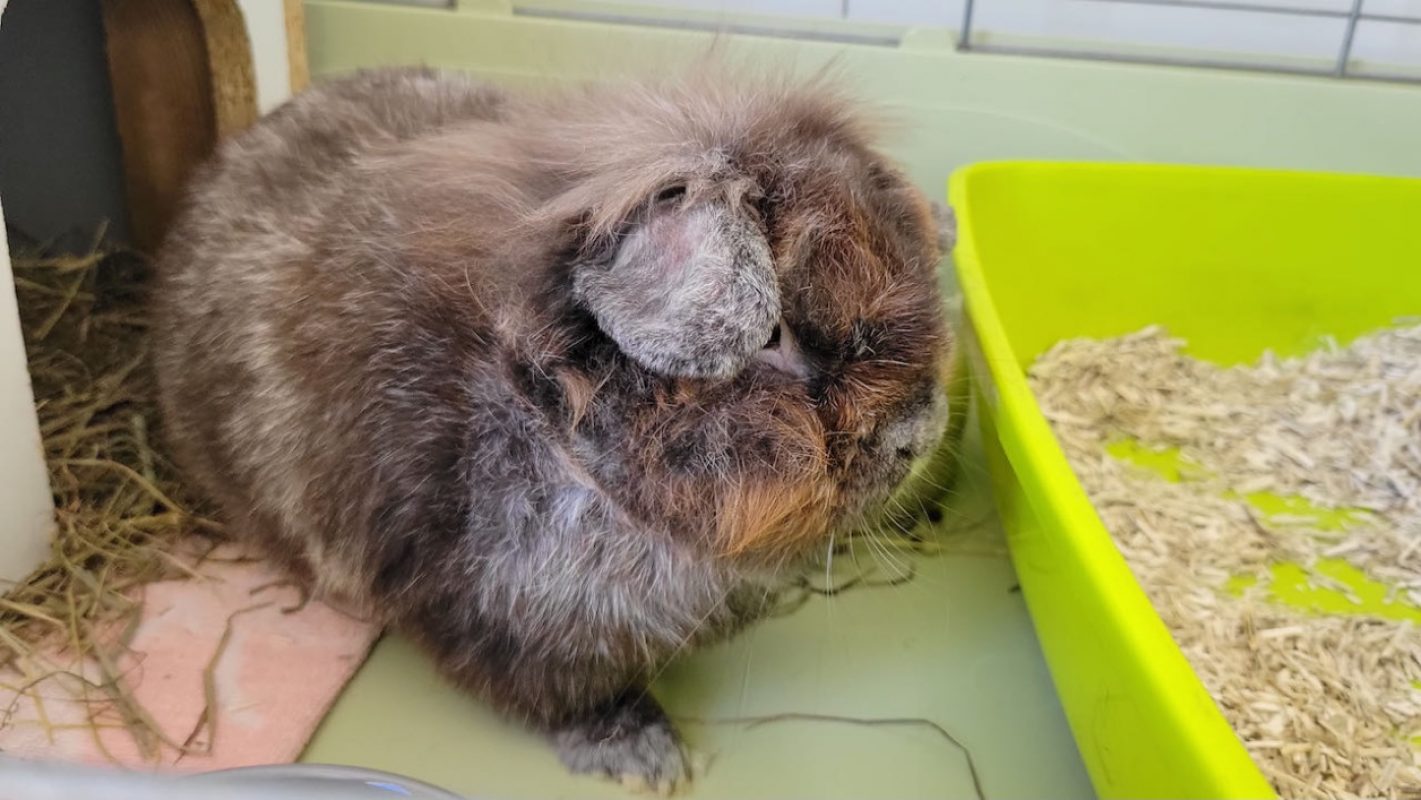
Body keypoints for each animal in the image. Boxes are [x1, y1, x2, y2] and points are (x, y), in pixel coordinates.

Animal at [151, 65, 954, 792]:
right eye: (775, 336)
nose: (918, 436)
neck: (548, 417)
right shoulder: (512, 626)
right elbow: (571, 698)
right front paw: (648, 762)